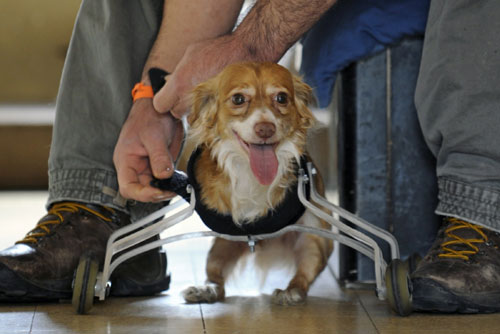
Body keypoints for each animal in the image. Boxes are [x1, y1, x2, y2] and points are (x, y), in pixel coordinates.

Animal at [181, 60, 332, 306]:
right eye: (238, 99)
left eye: (281, 98)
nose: (265, 128)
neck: (250, 170)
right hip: (222, 245)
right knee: (216, 279)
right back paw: (206, 289)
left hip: (314, 240)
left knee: (303, 277)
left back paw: (290, 292)